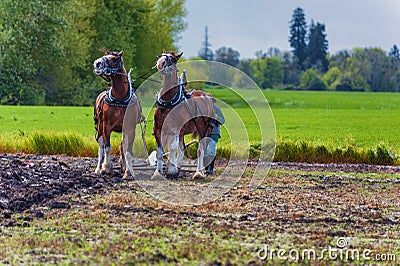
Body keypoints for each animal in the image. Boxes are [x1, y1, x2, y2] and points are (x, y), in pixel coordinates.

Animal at [92, 50, 141, 179]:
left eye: (114, 59)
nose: (97, 63)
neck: (120, 99)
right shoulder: (107, 126)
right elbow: (107, 148)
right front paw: (107, 168)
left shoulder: (130, 128)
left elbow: (127, 150)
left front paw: (128, 172)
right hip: (99, 127)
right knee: (101, 145)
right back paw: (98, 169)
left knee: (122, 145)